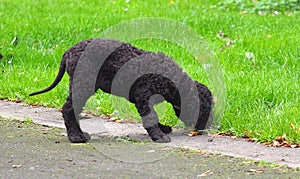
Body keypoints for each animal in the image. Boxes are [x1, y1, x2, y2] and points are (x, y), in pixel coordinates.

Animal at [29, 38, 213, 143]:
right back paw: (75, 137)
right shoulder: (142, 96)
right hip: (83, 85)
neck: (170, 78)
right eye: (205, 109)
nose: (205, 128)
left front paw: (162, 128)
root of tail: (69, 51)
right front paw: (159, 136)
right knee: (68, 108)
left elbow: (153, 117)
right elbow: (151, 117)